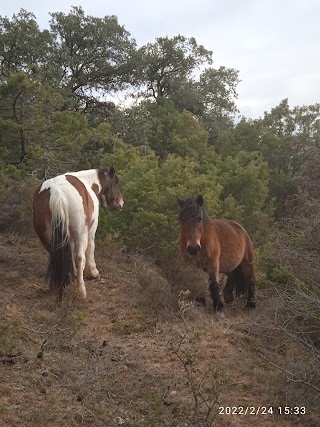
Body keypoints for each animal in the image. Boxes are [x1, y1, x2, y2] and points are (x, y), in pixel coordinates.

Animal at [32, 167, 124, 300]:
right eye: (116, 183)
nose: (121, 204)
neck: (89, 182)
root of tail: (57, 192)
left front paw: (73, 272)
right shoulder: (90, 231)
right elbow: (91, 248)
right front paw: (94, 273)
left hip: (47, 235)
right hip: (81, 233)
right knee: (80, 256)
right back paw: (81, 290)